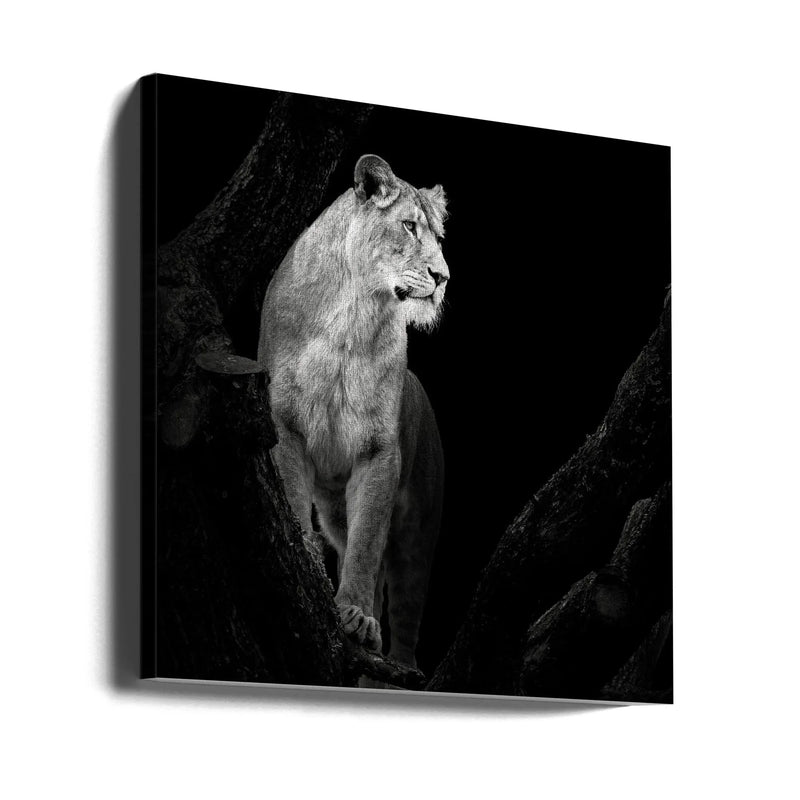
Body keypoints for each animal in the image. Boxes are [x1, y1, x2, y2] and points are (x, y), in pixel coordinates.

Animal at [257, 154, 449, 669]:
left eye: (439, 237)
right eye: (409, 226)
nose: (443, 277)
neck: (354, 314)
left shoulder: (379, 451)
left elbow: (366, 546)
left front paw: (358, 618)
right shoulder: (285, 426)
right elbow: (294, 502)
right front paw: (309, 565)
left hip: (420, 528)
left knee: (405, 608)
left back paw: (399, 666)